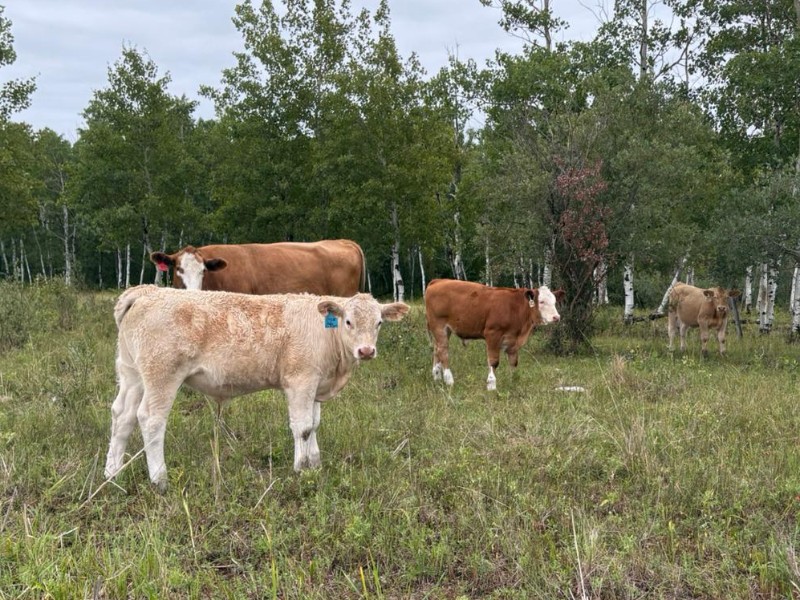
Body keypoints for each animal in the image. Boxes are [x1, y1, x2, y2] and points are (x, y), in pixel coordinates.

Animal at [103, 285, 409, 492]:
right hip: (162, 374)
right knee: (151, 420)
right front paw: (300, 469)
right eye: (348, 321)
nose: (366, 351)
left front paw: (315, 463)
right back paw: (159, 479)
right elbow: (303, 427)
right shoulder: (300, 380)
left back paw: (112, 474)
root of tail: (147, 291)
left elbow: (315, 424)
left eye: (379, 323)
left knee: (122, 416)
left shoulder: (316, 383)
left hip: (132, 373)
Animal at [424, 279, 564, 391]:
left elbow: (514, 362)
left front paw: (512, 382)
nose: (556, 317)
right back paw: (449, 380)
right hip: (439, 326)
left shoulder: (513, 341)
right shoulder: (492, 334)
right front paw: (491, 385)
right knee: (443, 352)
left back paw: (436, 377)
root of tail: (438, 281)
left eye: (555, 301)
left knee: (437, 350)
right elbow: (494, 361)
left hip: (443, 330)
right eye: (541, 302)